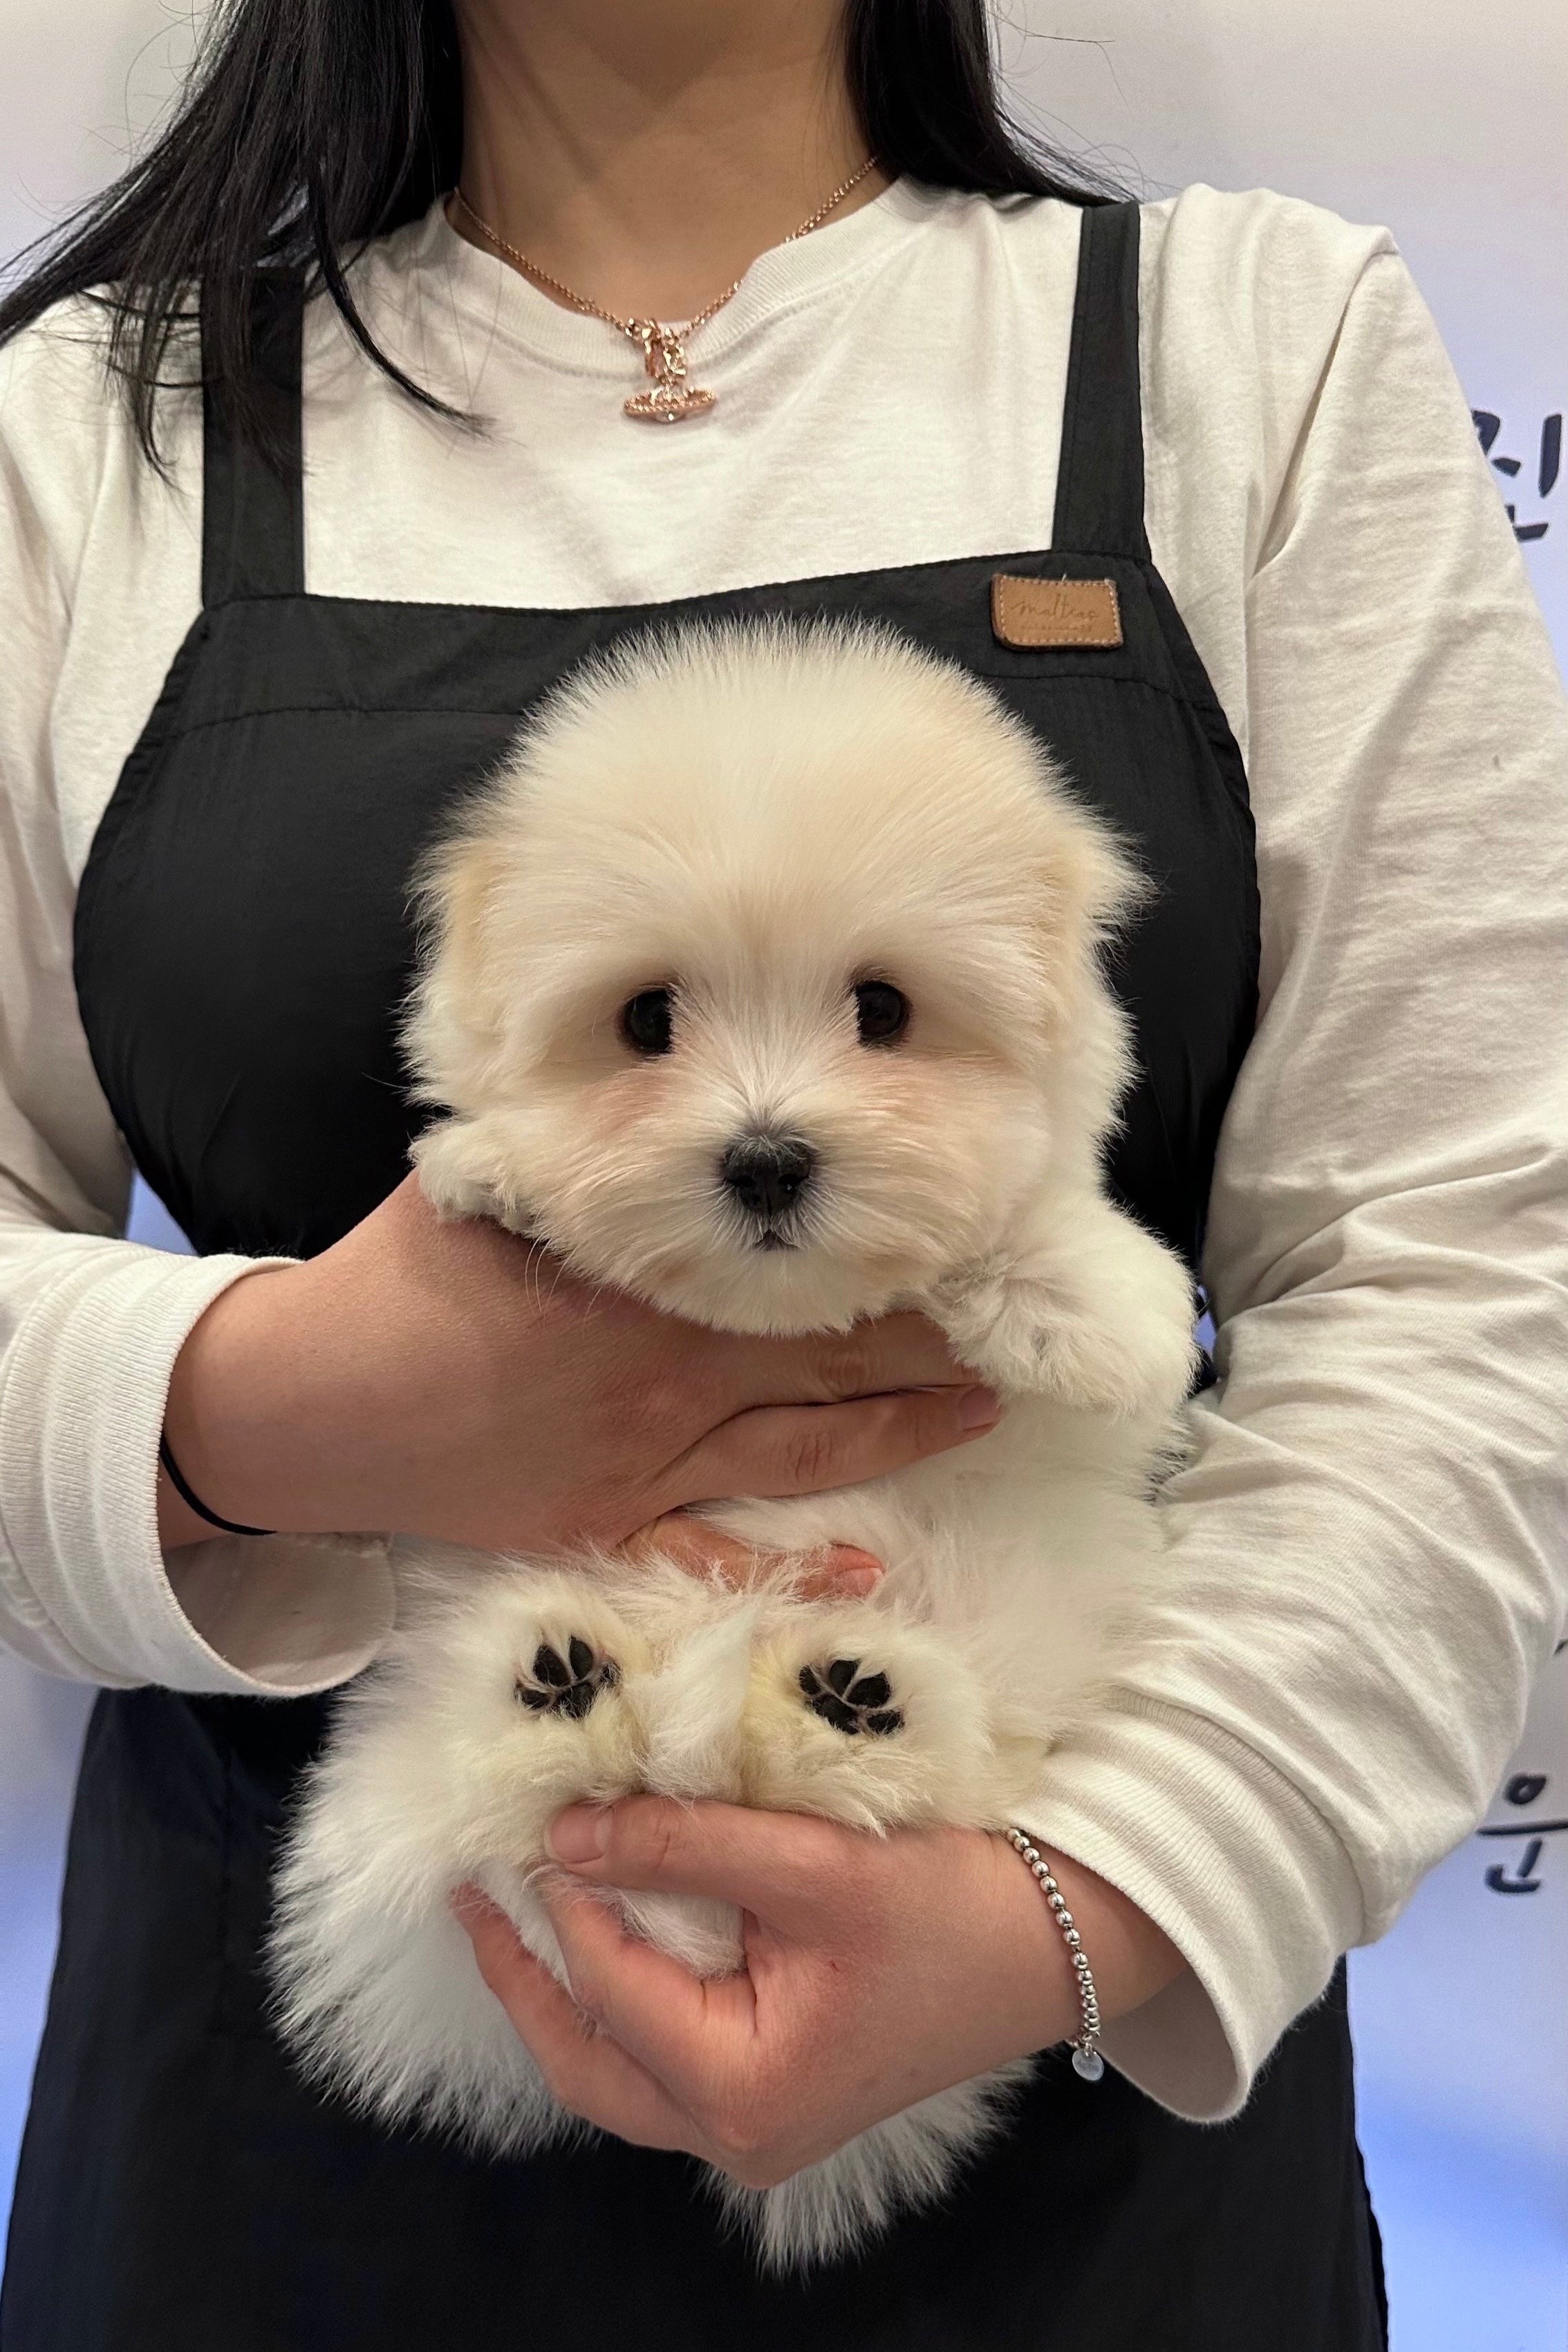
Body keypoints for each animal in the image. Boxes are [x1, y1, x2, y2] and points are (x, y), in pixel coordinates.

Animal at [272, 616, 1203, 2267]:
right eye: (647, 1019)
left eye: (884, 1010)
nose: (766, 1157)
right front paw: (498, 1167)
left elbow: (1072, 1276)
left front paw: (1062, 1291)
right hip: (453, 1717)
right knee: (506, 1788)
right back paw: (564, 1685)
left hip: (1011, 1634)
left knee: (949, 1765)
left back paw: (848, 1701)